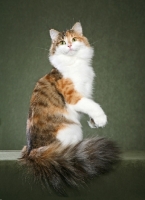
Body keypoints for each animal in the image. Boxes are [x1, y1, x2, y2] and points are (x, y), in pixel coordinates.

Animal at [19, 21, 120, 195]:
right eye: (62, 42)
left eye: (73, 39)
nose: (70, 45)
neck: (75, 64)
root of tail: (32, 152)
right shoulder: (73, 96)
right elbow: (92, 105)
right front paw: (101, 119)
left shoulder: (85, 92)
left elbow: (89, 105)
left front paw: (93, 122)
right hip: (72, 129)